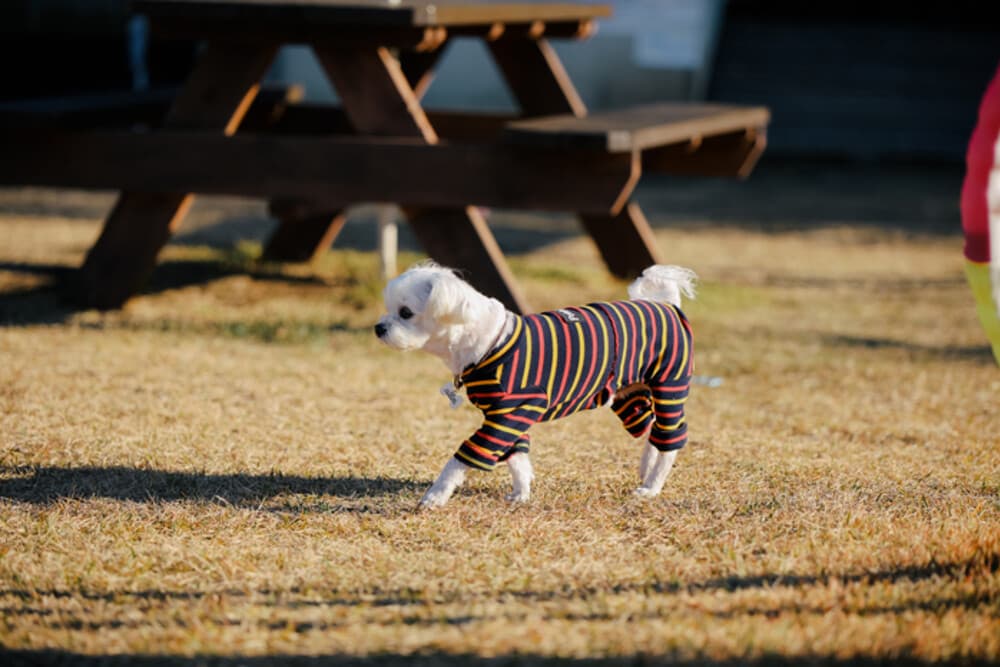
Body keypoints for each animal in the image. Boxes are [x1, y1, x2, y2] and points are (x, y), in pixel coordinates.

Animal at [376, 264, 696, 508]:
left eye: (405, 312)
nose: (378, 328)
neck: (488, 344)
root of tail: (667, 305)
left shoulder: (509, 414)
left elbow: (464, 458)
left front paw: (436, 495)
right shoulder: (509, 415)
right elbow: (517, 458)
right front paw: (521, 493)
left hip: (669, 386)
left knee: (671, 439)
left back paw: (652, 486)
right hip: (629, 396)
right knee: (651, 428)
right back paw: (646, 469)